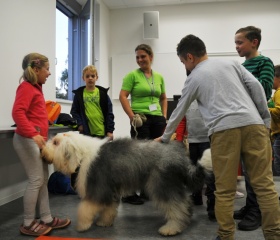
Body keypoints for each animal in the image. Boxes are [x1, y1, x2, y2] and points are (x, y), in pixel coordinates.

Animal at [41, 131, 212, 236]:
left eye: (55, 142)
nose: (42, 150)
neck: (82, 154)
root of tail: (181, 156)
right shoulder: (109, 189)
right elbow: (108, 208)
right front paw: (104, 222)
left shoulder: (98, 188)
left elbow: (85, 208)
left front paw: (82, 226)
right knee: (184, 202)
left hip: (162, 185)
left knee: (177, 206)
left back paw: (171, 228)